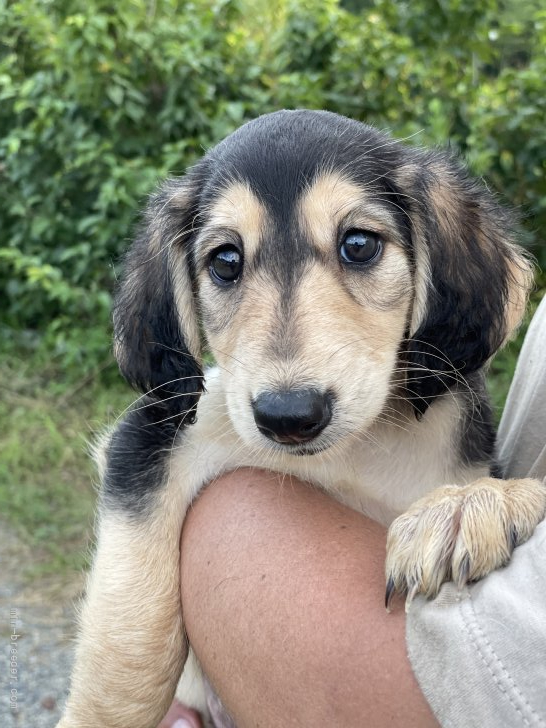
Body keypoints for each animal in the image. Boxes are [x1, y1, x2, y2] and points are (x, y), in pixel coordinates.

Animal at [56, 109, 544, 728]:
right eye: (225, 261)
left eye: (359, 244)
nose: (289, 416)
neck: (351, 454)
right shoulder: (151, 441)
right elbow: (127, 655)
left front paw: (472, 505)